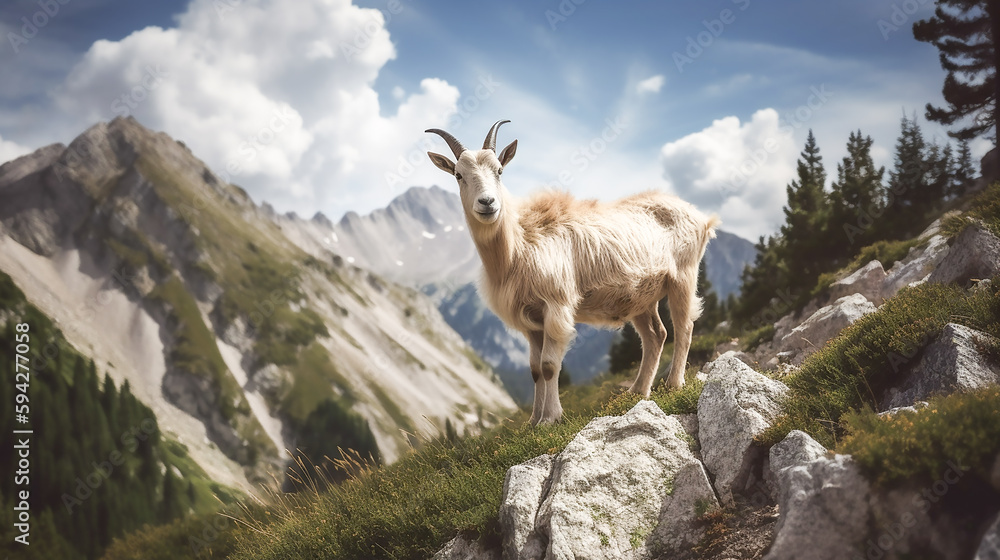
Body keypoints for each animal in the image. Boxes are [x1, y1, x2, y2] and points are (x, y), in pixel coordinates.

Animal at [426, 120, 719, 424]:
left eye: (500, 170)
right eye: (458, 175)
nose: (487, 203)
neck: (517, 248)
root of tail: (701, 217)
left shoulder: (555, 305)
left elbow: (548, 365)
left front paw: (551, 418)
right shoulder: (531, 319)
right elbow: (534, 369)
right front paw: (534, 421)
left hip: (683, 276)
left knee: (684, 327)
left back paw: (674, 384)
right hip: (642, 296)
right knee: (656, 335)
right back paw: (638, 391)